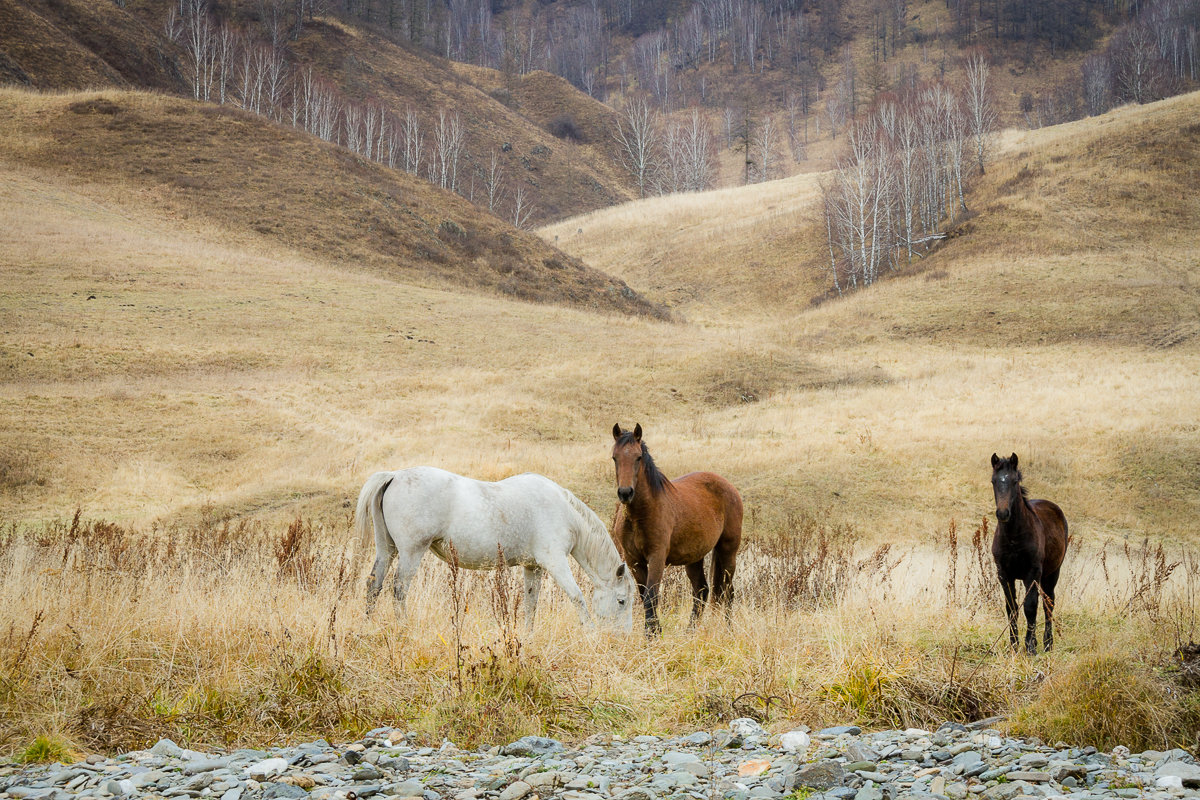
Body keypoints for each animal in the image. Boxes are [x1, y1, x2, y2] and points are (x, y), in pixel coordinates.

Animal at [355, 470, 638, 633]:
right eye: (621, 601)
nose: (621, 638)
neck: (563, 511)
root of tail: (394, 476)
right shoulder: (555, 562)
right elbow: (577, 597)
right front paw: (590, 633)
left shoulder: (533, 567)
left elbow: (531, 604)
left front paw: (527, 636)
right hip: (411, 552)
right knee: (399, 589)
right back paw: (404, 628)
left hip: (387, 550)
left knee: (374, 585)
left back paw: (367, 625)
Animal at [609, 422, 739, 633]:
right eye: (615, 457)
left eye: (638, 457)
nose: (625, 493)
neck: (640, 515)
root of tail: (728, 486)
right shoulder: (633, 560)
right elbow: (645, 596)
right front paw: (655, 631)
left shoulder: (657, 557)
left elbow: (651, 597)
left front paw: (652, 635)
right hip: (694, 558)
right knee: (702, 590)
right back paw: (690, 632)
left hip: (728, 551)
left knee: (728, 591)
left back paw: (728, 630)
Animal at [993, 453, 1070, 652]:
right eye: (994, 481)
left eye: (1014, 481)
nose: (1003, 513)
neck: (1013, 537)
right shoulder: (1004, 574)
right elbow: (1011, 607)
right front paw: (1013, 645)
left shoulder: (1032, 573)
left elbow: (1030, 606)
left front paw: (1030, 647)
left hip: (1052, 573)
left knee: (1048, 603)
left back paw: (1048, 643)